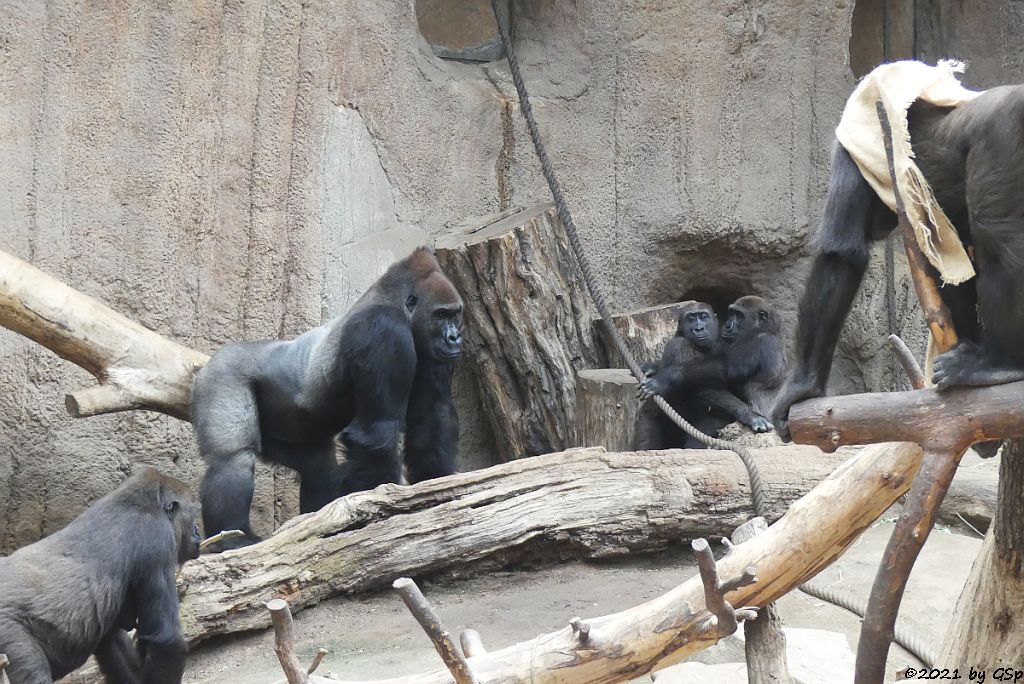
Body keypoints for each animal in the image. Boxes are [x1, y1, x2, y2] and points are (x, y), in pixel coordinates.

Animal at [0, 466, 201, 684]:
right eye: (193, 514)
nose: (198, 532)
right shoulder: (157, 540)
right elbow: (168, 640)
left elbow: (112, 641)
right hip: (9, 635)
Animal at [192, 245, 464, 548]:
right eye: (440, 315)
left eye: (455, 315)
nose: (455, 338)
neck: (394, 303)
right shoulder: (385, 330)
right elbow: (378, 433)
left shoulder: (432, 353)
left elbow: (431, 418)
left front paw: (435, 481)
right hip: (223, 373)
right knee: (232, 459)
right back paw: (230, 538)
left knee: (316, 467)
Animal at [634, 294, 786, 448]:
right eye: (691, 319)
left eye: (739, 315)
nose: (727, 325)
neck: (767, 329)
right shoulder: (680, 345)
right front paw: (652, 367)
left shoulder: (755, 342)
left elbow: (724, 370)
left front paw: (667, 378)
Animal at [770, 88, 1024, 440]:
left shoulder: (851, 149)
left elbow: (841, 254)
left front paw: (802, 385)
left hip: (1002, 133)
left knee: (998, 236)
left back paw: (1001, 361)